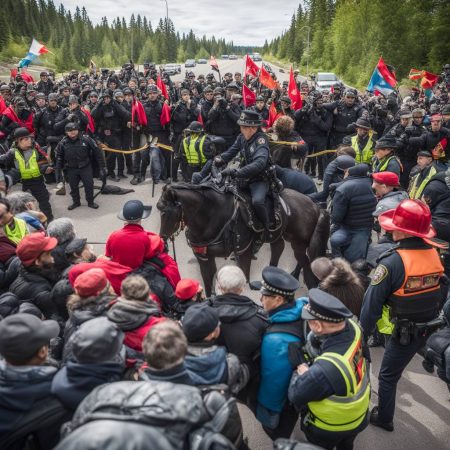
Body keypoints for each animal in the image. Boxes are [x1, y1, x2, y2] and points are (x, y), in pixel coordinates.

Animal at [156, 183, 328, 296]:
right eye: (159, 209)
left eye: (165, 211)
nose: (162, 240)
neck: (213, 216)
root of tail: (315, 205)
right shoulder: (204, 257)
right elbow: (209, 286)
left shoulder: (243, 252)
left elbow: (243, 279)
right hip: (282, 237)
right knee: (279, 249)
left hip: (298, 243)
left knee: (307, 264)